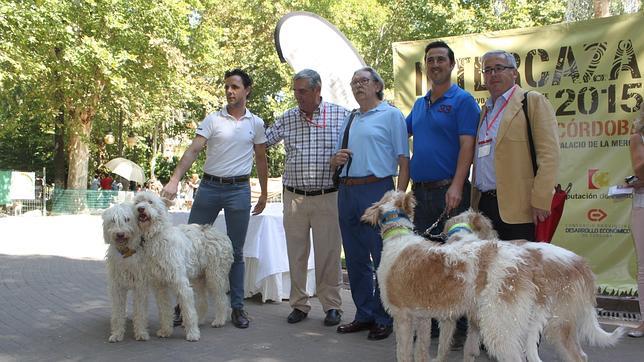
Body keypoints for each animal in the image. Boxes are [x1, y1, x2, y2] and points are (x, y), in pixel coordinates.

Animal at [102, 204, 149, 342]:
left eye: (127, 219)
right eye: (113, 220)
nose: (120, 234)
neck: (126, 254)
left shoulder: (140, 287)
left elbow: (140, 310)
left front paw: (141, 332)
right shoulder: (117, 287)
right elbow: (118, 312)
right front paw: (117, 333)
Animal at [132, 191, 233, 340]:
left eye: (150, 202)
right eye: (137, 202)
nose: (140, 209)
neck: (156, 235)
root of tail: (221, 233)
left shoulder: (180, 282)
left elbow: (188, 310)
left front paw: (193, 334)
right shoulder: (159, 285)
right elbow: (164, 309)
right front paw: (165, 330)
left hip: (215, 276)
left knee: (222, 299)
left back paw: (219, 320)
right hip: (199, 278)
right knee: (203, 302)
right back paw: (200, 320)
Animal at [442, 209, 624, 362]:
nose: (495, 238)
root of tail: (582, 265)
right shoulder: (475, 318)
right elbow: (470, 347)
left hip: (556, 323)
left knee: (576, 356)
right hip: (562, 323)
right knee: (582, 355)